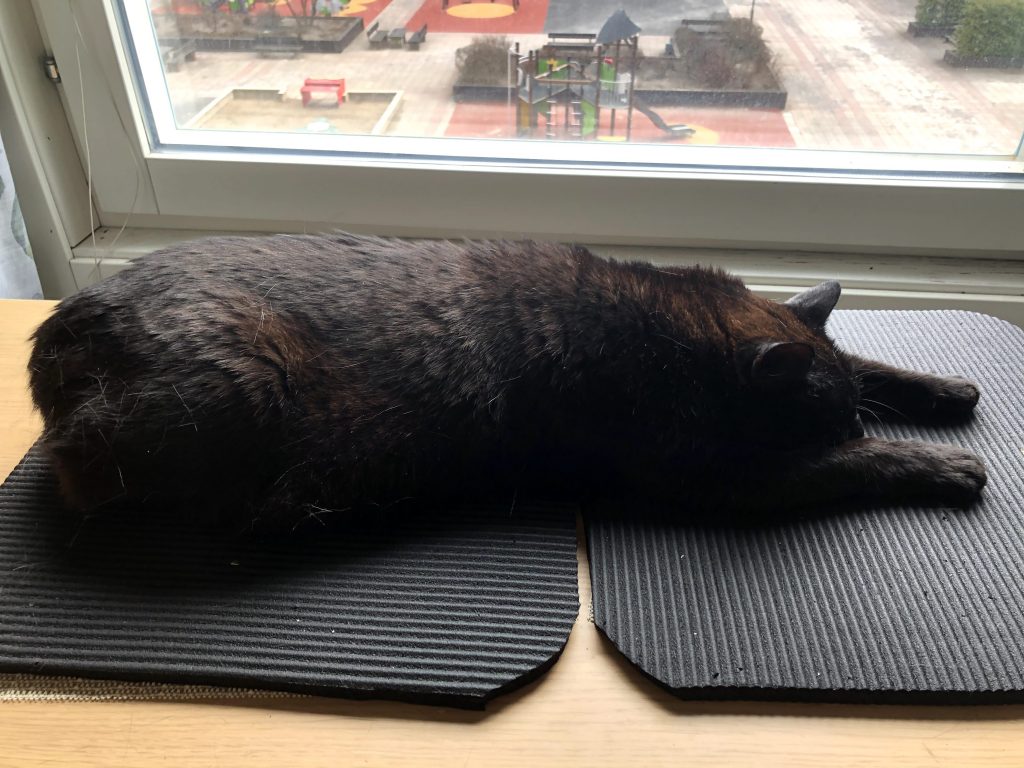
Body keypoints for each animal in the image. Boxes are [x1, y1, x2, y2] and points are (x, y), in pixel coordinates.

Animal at [25, 234, 983, 532]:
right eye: (824, 427)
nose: (849, 427)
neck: (675, 325)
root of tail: (58, 332)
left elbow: (870, 363)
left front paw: (947, 391)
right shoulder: (719, 479)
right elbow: (847, 470)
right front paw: (936, 464)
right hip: (240, 382)